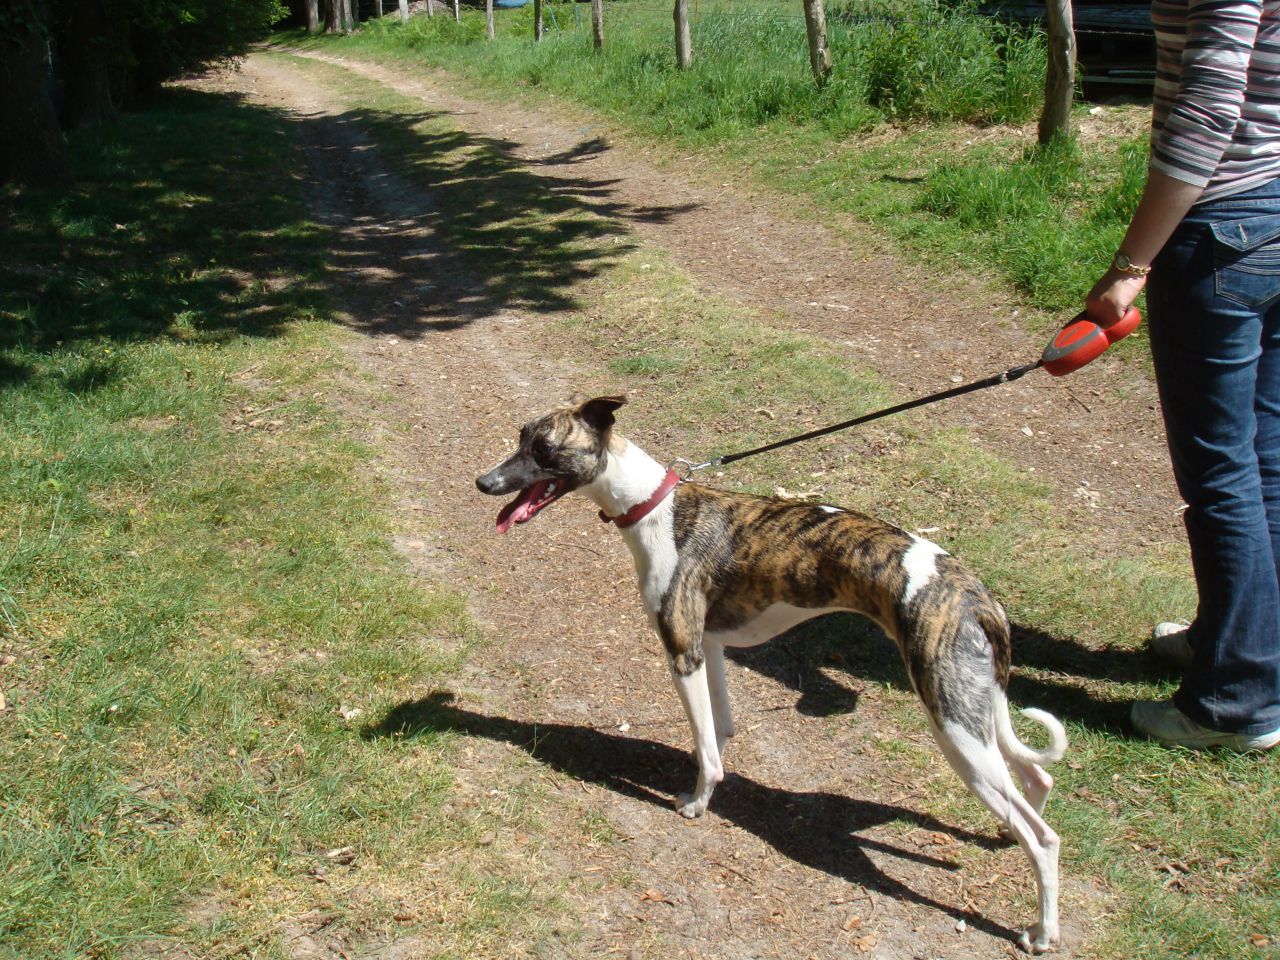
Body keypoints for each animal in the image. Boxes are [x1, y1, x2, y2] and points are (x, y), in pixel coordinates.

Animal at [476, 395, 1068, 953]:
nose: (484, 483)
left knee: (1044, 837)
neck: (657, 508)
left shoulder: (684, 651)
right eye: (520, 437)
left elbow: (706, 746)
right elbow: (719, 730)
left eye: (544, 449)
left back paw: (1041, 932)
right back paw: (1005, 838)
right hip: (975, 706)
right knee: (1036, 781)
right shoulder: (712, 646)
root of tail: (975, 594)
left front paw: (697, 804)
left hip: (953, 724)